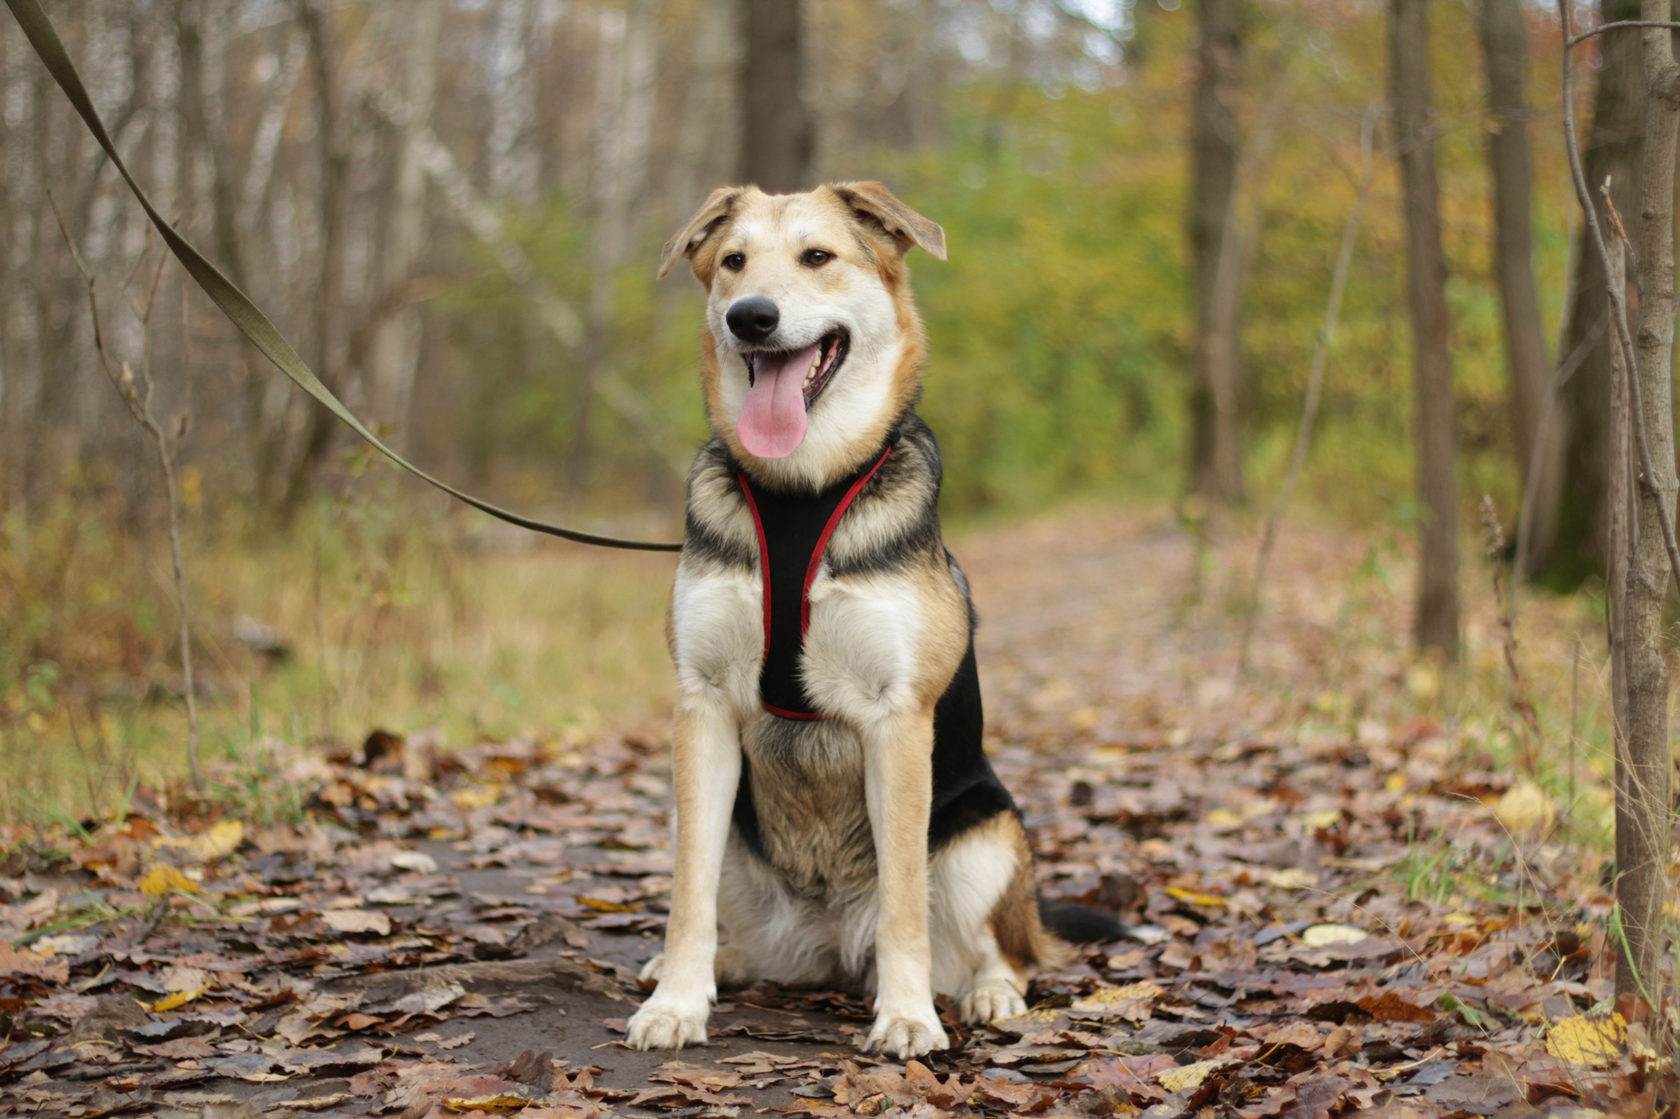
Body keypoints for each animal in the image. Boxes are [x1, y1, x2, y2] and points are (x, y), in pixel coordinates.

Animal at [624, 180, 1122, 1055]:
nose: (749, 316)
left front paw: (908, 1015)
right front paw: (676, 1001)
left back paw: (988, 992)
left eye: (818, 256)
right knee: (741, 929)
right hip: (739, 847)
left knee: (1013, 950)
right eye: (733, 261)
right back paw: (716, 966)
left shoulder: (898, 721)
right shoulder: (703, 706)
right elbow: (687, 895)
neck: (802, 487)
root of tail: (832, 947)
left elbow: (902, 902)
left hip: (986, 836)